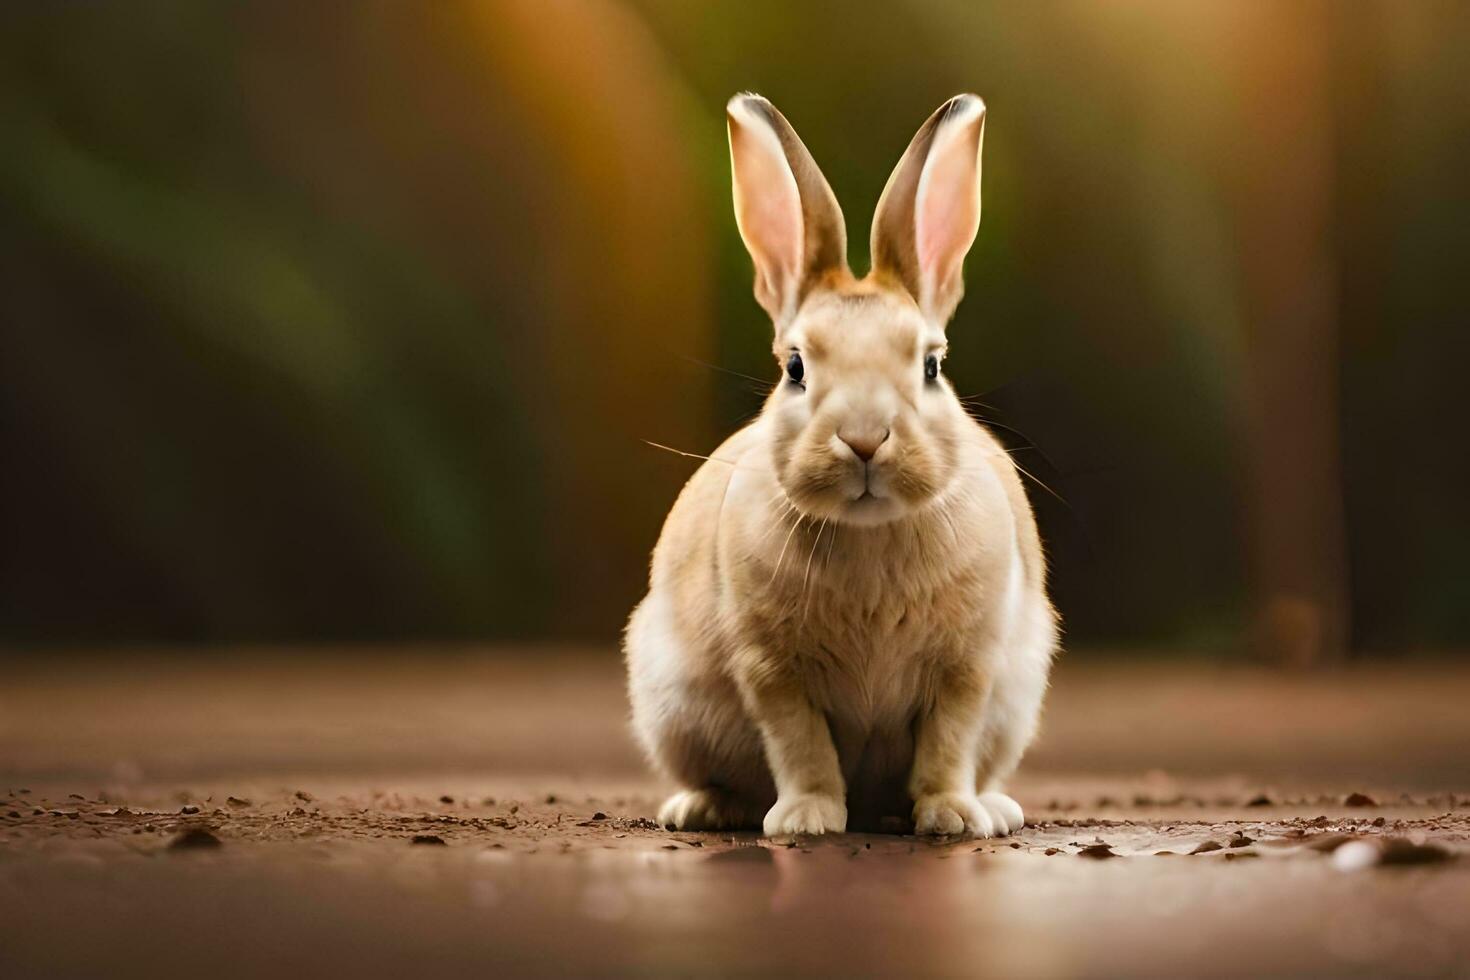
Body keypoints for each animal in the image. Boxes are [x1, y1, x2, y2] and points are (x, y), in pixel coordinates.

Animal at [620, 95, 1058, 840]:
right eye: (795, 369)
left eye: (931, 366)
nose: (863, 440)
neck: (869, 533)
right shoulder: (772, 672)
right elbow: (802, 747)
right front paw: (806, 821)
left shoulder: (967, 670)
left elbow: (948, 746)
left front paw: (950, 817)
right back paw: (701, 809)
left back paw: (993, 809)